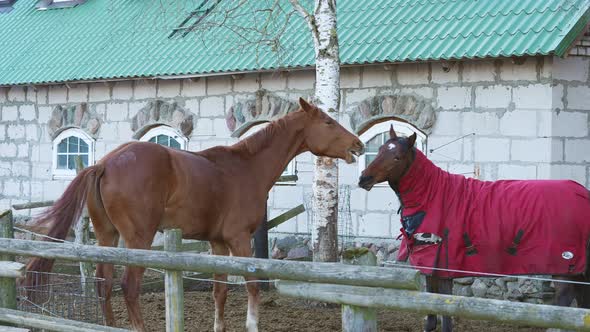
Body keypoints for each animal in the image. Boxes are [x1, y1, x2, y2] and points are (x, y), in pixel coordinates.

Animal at [25, 98, 368, 332]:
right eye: (328, 122)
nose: (358, 144)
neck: (246, 168)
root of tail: (105, 163)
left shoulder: (217, 243)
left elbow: (220, 291)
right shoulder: (239, 240)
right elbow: (252, 285)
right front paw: (252, 325)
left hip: (107, 236)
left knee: (104, 284)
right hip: (139, 238)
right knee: (129, 286)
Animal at [358, 124, 590, 332]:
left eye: (397, 157)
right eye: (379, 150)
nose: (363, 179)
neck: (434, 196)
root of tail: (583, 194)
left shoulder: (445, 269)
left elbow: (445, 313)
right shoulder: (431, 267)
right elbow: (431, 313)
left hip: (565, 267)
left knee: (564, 303)